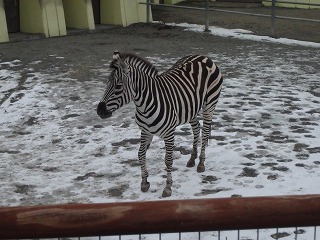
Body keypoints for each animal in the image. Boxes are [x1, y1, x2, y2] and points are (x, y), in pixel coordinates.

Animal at [97, 51, 222, 197]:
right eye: (107, 83)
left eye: (118, 86)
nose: (99, 111)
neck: (144, 105)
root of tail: (203, 56)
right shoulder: (145, 131)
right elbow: (140, 154)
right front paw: (144, 182)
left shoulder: (169, 134)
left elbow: (168, 160)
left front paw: (168, 187)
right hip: (190, 109)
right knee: (196, 128)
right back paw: (192, 159)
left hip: (210, 104)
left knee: (205, 131)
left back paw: (201, 163)